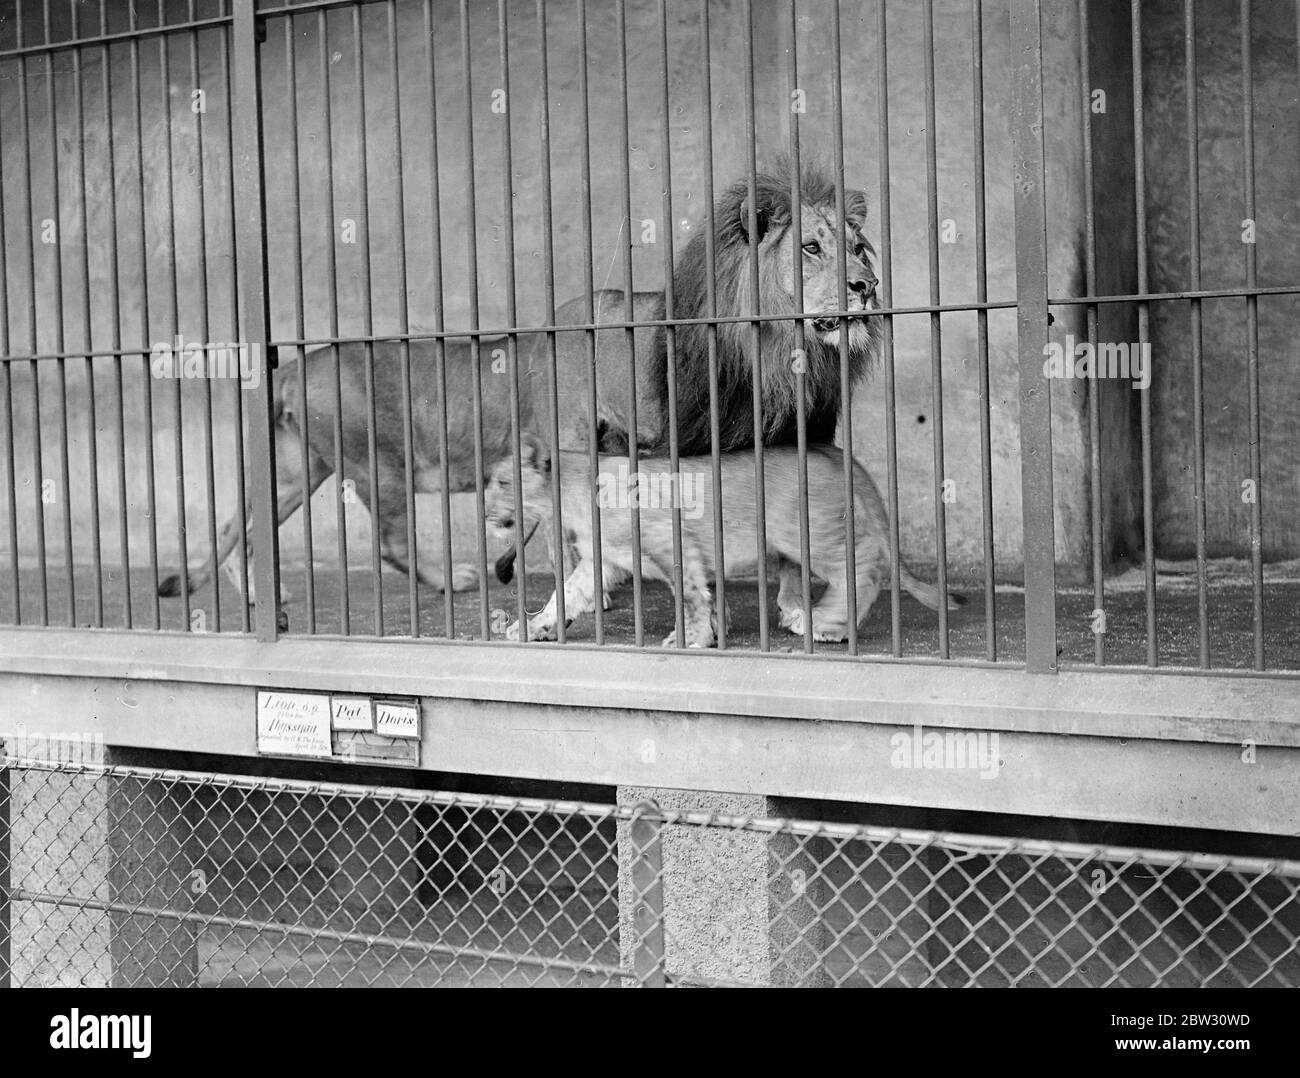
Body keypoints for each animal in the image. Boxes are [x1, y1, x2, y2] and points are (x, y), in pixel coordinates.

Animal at [488, 431, 956, 647]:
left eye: (501, 483)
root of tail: (832, 451)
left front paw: (693, 638)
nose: (486, 514)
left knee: (864, 566)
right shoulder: (602, 560)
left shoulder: (668, 540)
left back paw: (824, 624)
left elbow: (691, 594)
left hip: (807, 530)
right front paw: (533, 627)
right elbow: (565, 594)